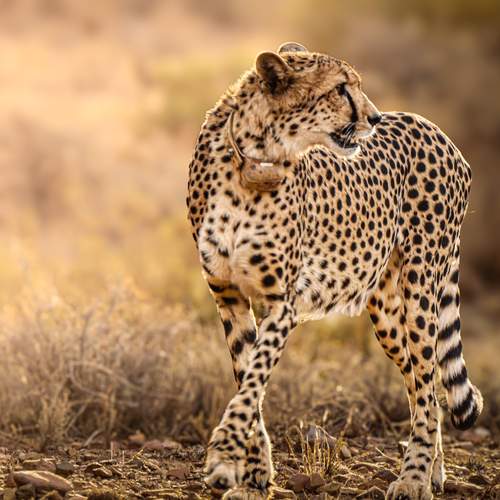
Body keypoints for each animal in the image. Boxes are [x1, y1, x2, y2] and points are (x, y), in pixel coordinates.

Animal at [187, 42, 483, 500]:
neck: (254, 162)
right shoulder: (228, 296)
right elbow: (247, 378)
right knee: (425, 384)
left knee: (428, 380)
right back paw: (432, 470)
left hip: (420, 288)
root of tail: (435, 129)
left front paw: (224, 454)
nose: (374, 119)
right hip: (385, 312)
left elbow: (253, 381)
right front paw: (254, 476)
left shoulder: (282, 303)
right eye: (341, 89)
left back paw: (414, 478)